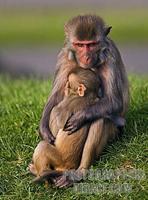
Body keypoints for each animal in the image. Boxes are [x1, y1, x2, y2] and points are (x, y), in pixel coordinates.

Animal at [39, 15, 128, 188]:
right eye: (80, 45)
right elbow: (56, 95)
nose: (86, 56)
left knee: (101, 119)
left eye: (91, 44)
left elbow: (114, 101)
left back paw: (78, 173)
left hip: (116, 132)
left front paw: (80, 117)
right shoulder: (64, 56)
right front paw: (43, 129)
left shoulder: (110, 55)